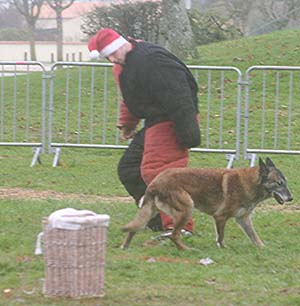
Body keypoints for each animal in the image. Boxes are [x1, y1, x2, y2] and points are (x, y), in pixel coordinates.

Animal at [120, 157, 292, 250]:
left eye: (286, 182)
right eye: (279, 183)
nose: (291, 198)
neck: (250, 183)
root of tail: (155, 182)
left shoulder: (243, 219)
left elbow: (254, 237)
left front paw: (263, 248)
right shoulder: (220, 217)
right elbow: (221, 237)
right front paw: (222, 249)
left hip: (152, 211)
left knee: (133, 229)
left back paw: (125, 247)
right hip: (187, 209)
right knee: (174, 236)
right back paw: (187, 250)